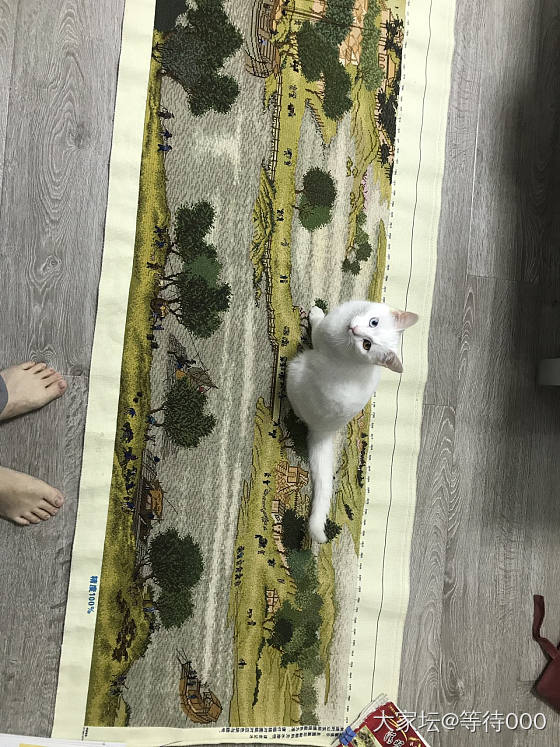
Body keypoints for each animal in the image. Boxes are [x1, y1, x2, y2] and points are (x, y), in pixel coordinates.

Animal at [286, 300, 418, 543]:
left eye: (366, 345)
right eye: (373, 322)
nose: (355, 330)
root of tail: (323, 430)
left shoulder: (321, 335)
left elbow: (317, 325)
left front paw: (315, 313)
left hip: (297, 367)